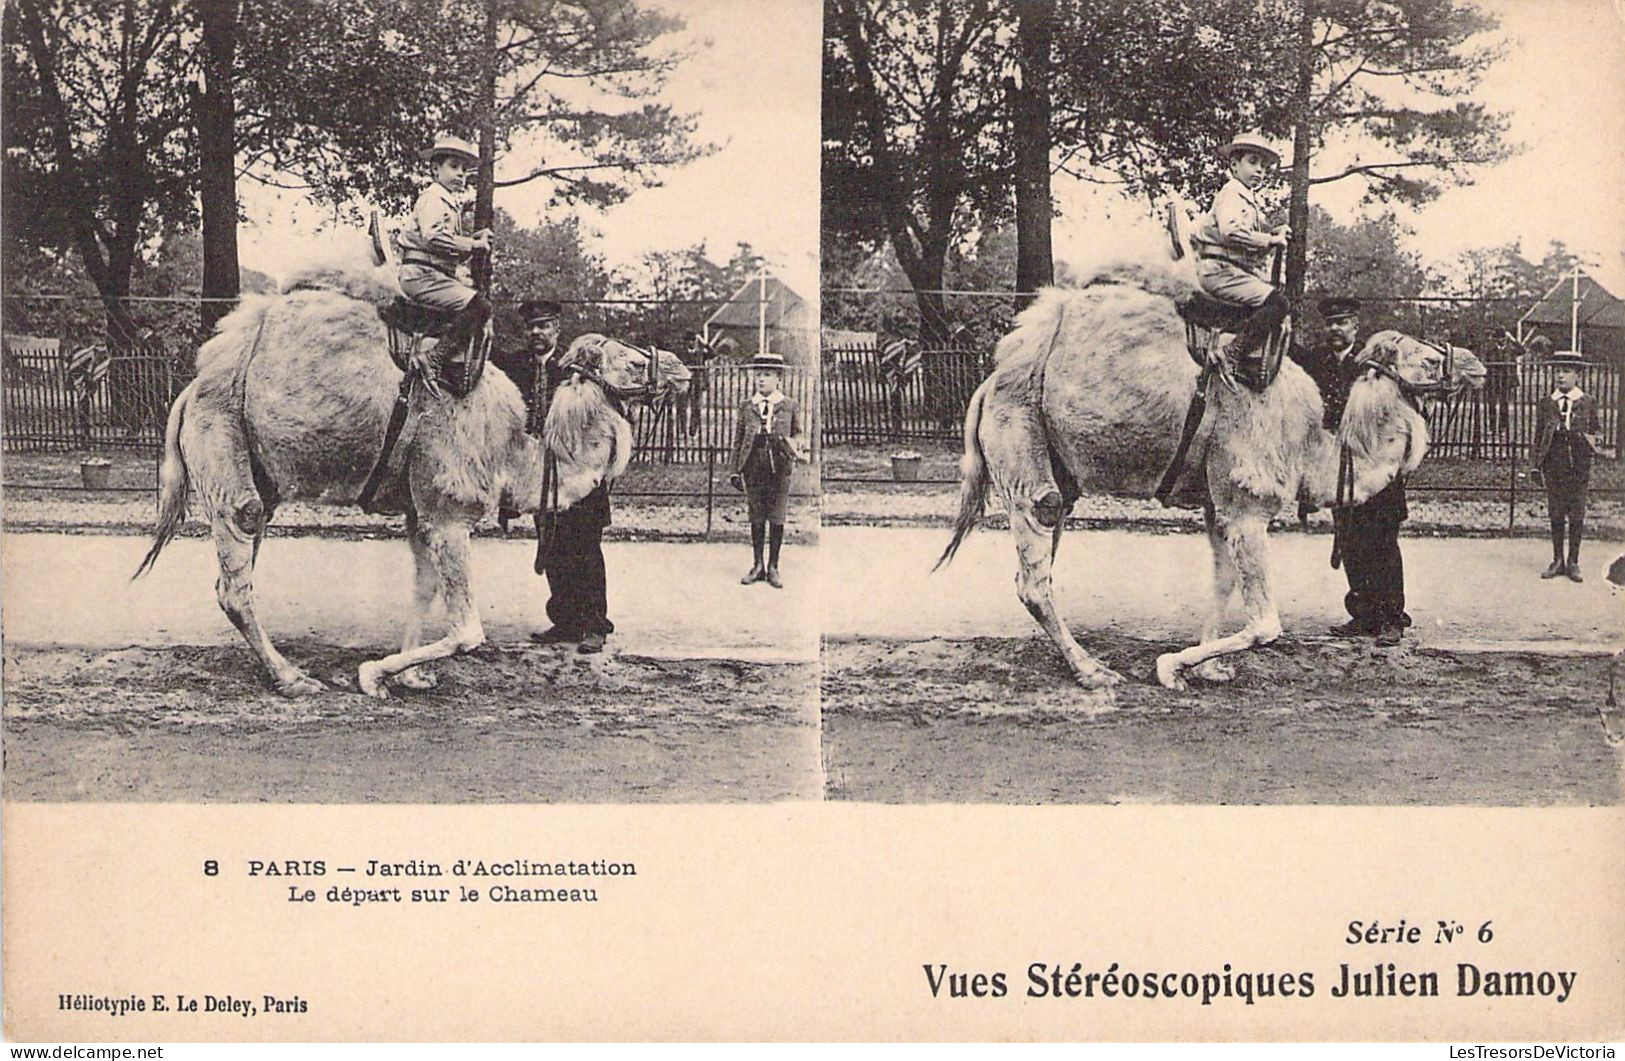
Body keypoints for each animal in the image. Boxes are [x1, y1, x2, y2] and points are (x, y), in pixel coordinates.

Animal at [130, 258, 682, 698]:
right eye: (633, 360)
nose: (680, 369)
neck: (514, 452)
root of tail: (189, 392)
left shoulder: (422, 511)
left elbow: (423, 589)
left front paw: (410, 676)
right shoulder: (449, 511)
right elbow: (466, 631)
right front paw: (372, 676)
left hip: (258, 479)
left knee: (233, 576)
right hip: (223, 453)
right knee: (237, 578)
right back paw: (292, 679)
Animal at [942, 255, 1488, 685]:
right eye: (1423, 355)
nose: (1476, 364)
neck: (1313, 448)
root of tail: (988, 383)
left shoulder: (1217, 504)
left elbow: (1223, 584)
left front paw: (1207, 668)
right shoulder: (1247, 505)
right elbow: (1265, 625)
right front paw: (1169, 668)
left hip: (1057, 470)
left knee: (1036, 568)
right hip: (1022, 448)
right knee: (1036, 568)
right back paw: (1092, 671)